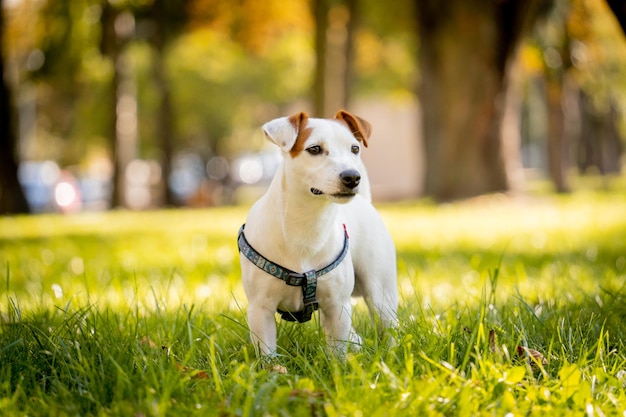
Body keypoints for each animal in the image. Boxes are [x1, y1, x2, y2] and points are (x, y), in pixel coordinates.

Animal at [236, 109, 398, 356]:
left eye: (355, 148)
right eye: (314, 149)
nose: (353, 177)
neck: (307, 224)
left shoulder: (337, 306)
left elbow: (338, 351)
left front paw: (338, 364)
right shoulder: (260, 309)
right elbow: (267, 352)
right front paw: (272, 367)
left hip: (380, 292)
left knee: (386, 323)